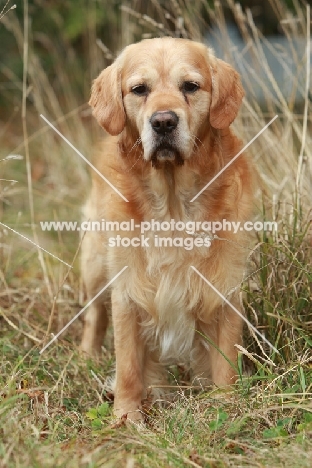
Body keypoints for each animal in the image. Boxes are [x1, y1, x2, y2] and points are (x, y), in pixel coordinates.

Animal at [79, 38, 255, 422]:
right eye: (139, 90)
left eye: (190, 86)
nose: (163, 122)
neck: (173, 204)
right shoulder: (128, 290)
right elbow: (129, 364)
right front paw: (126, 416)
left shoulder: (224, 284)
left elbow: (225, 360)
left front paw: (226, 406)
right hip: (96, 262)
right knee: (95, 314)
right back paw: (86, 355)